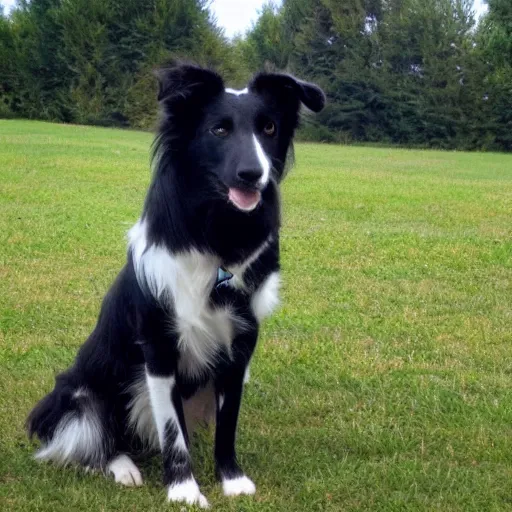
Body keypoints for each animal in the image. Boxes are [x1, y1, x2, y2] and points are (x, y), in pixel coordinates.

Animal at [27, 65, 324, 508]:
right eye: (219, 129)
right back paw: (122, 467)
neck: (215, 235)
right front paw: (184, 490)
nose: (253, 175)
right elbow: (173, 433)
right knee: (94, 440)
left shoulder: (238, 350)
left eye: (268, 127)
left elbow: (227, 425)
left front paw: (231, 479)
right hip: (82, 394)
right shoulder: (159, 350)